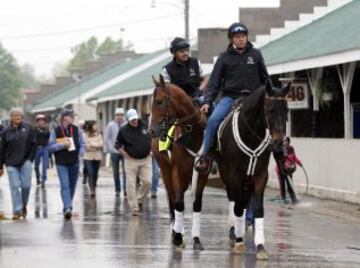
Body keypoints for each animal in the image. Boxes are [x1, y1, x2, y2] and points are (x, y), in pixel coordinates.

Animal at [148, 76, 208, 251]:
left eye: (159, 101)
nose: (151, 131)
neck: (192, 133)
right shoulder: (177, 170)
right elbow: (179, 202)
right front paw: (178, 237)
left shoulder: (203, 171)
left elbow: (197, 203)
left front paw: (196, 239)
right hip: (165, 169)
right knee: (172, 197)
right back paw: (175, 229)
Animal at [217, 80, 290, 258]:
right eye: (270, 110)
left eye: (286, 110)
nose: (279, 143)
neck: (249, 135)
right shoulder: (234, 175)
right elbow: (237, 207)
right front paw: (239, 241)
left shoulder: (260, 175)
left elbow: (257, 209)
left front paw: (260, 246)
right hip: (226, 174)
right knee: (234, 200)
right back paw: (234, 231)